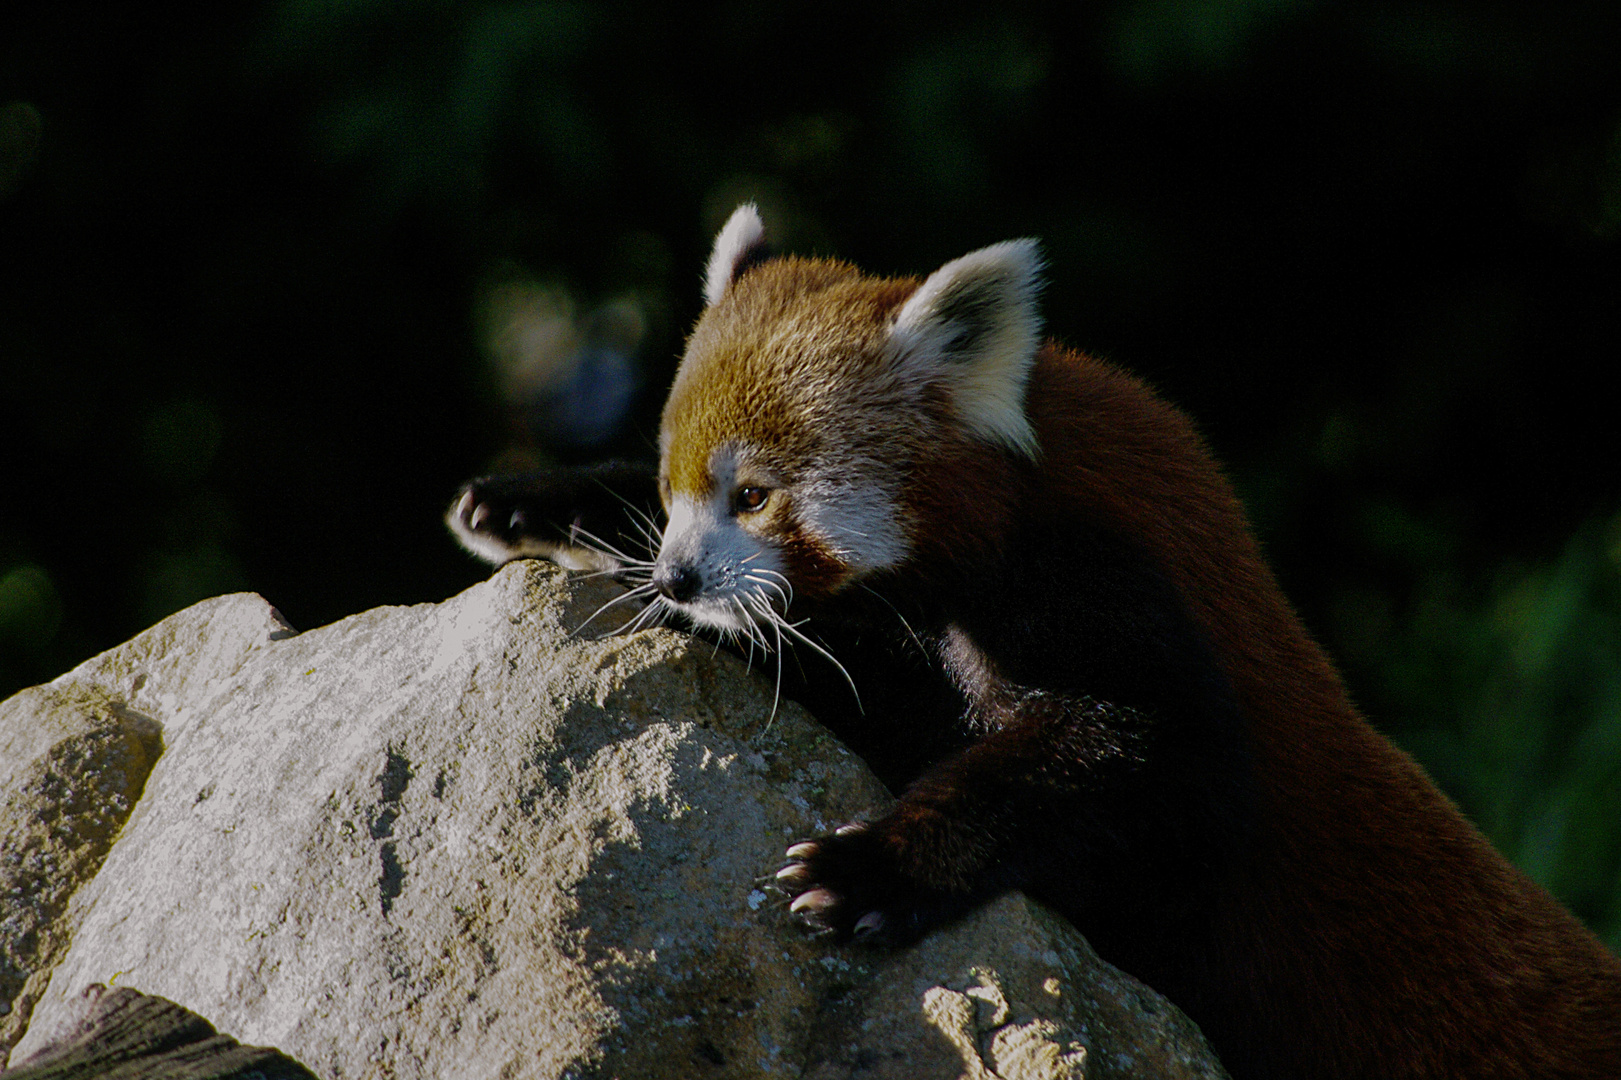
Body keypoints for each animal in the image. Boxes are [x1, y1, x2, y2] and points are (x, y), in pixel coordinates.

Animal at [450, 205, 1621, 1070]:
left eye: (755, 495)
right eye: (675, 488)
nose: (678, 577)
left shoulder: (1099, 584)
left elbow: (1143, 752)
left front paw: (870, 866)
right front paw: (533, 504)